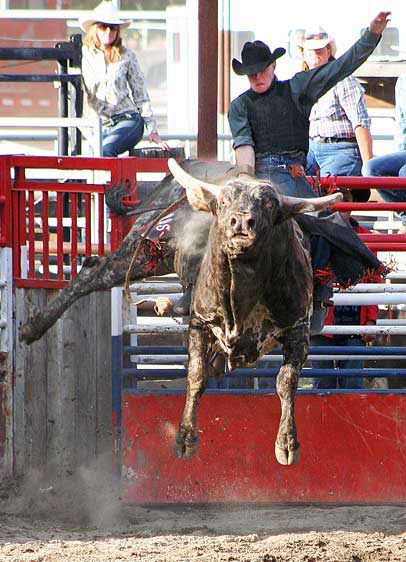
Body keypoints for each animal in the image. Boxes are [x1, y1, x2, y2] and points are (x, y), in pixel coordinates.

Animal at [20, 159, 386, 464]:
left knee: (95, 270)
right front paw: (184, 439)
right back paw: (33, 327)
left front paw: (286, 444)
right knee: (95, 271)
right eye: (223, 204)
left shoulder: (297, 331)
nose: (241, 222)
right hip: (146, 250)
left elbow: (286, 381)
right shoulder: (200, 324)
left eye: (268, 204)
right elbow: (195, 377)